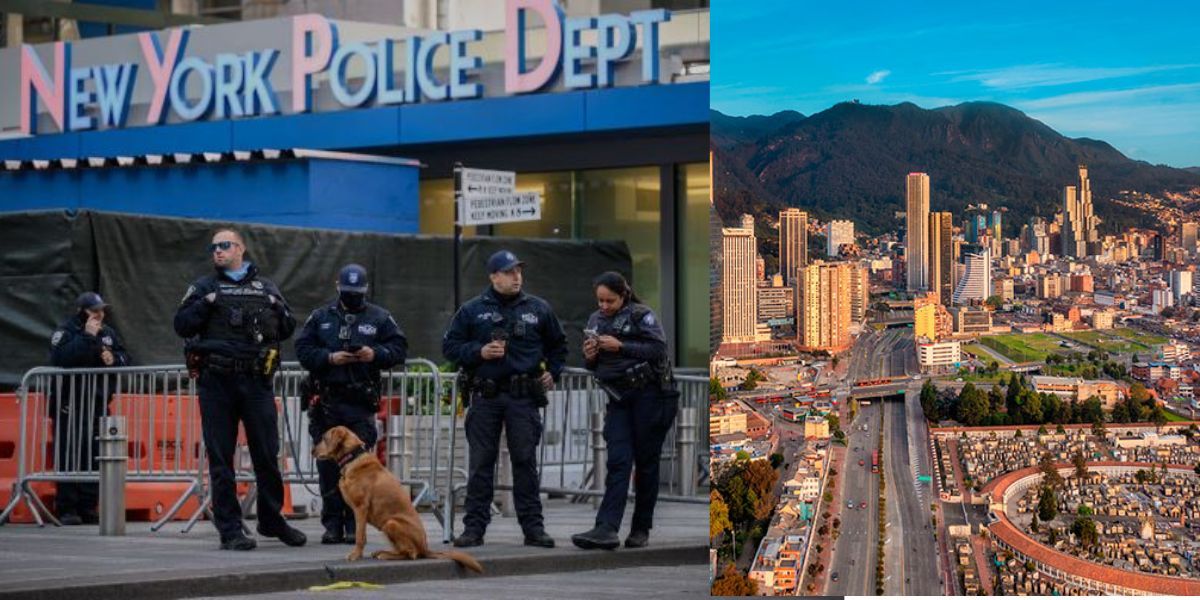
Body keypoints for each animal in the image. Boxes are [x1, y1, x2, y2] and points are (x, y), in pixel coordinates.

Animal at [314, 422, 482, 571]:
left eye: (324, 438)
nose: (312, 451)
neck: (352, 457)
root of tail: (425, 548)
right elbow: (361, 535)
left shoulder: (360, 508)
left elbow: (359, 536)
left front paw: (355, 555)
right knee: (404, 551)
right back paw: (382, 552)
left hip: (391, 523)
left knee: (411, 554)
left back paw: (386, 555)